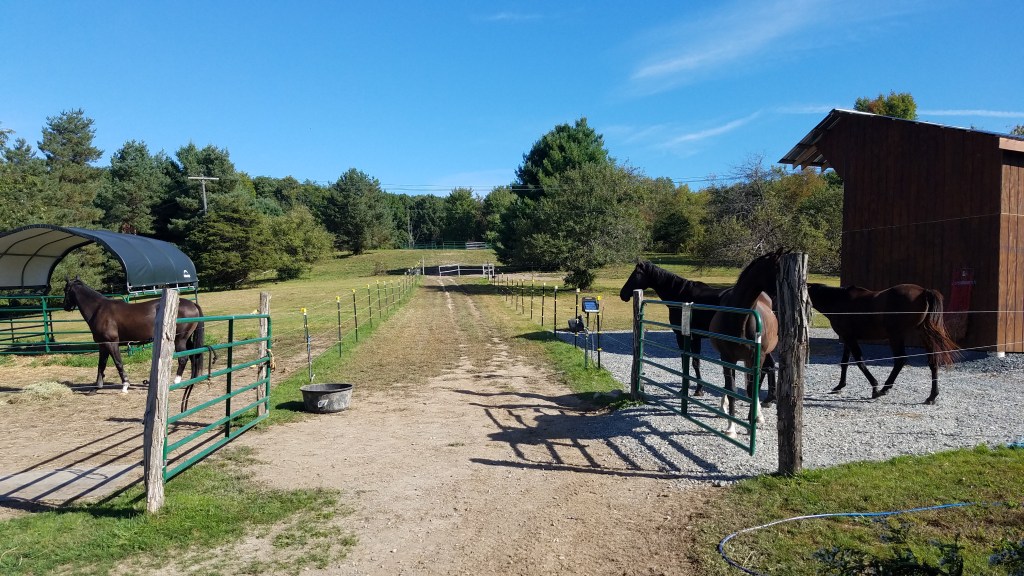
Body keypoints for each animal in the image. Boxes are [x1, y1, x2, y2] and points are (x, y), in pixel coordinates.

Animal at [62, 278, 206, 411]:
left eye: (65, 290)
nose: (65, 306)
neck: (99, 309)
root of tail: (193, 304)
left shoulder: (111, 343)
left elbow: (118, 363)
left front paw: (125, 386)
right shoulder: (103, 345)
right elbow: (101, 365)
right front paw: (95, 388)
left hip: (179, 340)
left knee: (183, 358)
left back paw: (176, 382)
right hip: (186, 339)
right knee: (193, 355)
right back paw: (193, 379)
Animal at [618, 260, 729, 394]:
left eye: (636, 274)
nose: (622, 294)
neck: (681, 296)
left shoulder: (683, 337)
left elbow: (688, 361)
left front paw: (691, 389)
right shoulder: (695, 338)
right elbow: (694, 362)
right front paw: (696, 388)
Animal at [709, 249, 782, 438]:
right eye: (778, 271)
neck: (739, 319)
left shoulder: (756, 357)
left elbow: (751, 390)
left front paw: (751, 423)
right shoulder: (727, 358)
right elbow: (732, 390)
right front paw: (731, 428)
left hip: (758, 357)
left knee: (757, 381)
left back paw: (759, 415)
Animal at [807, 283, 959, 404]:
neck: (838, 301)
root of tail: (924, 291)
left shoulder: (849, 338)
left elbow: (859, 361)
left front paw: (874, 387)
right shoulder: (847, 338)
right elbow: (844, 362)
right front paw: (839, 386)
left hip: (896, 337)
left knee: (900, 360)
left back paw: (884, 389)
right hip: (923, 334)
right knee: (932, 362)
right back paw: (932, 396)